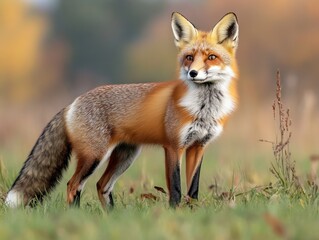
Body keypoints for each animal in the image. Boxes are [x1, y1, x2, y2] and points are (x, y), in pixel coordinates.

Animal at [5, 12, 240, 208]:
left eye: (211, 57)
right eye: (189, 57)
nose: (192, 73)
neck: (204, 108)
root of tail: (71, 103)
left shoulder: (198, 146)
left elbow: (193, 190)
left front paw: (191, 212)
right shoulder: (174, 146)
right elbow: (175, 188)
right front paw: (175, 212)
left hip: (124, 156)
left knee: (101, 185)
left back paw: (111, 217)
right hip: (94, 156)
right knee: (73, 185)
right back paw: (76, 215)